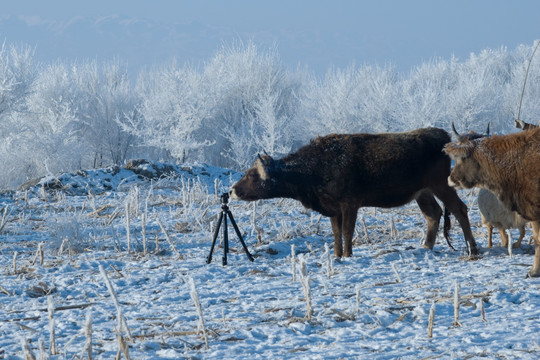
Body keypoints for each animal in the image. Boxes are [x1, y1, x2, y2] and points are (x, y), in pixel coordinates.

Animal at [230, 128, 478, 258]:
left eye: (251, 175)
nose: (232, 190)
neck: (316, 167)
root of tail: (442, 136)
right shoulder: (333, 209)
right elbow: (337, 233)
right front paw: (338, 255)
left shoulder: (350, 204)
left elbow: (347, 231)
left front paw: (347, 255)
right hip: (423, 193)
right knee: (433, 214)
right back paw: (426, 247)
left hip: (441, 186)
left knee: (459, 209)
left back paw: (471, 248)